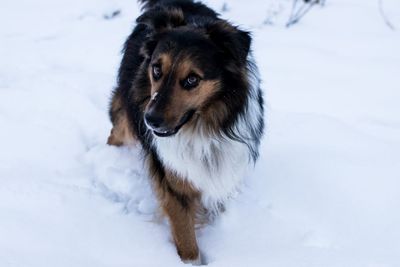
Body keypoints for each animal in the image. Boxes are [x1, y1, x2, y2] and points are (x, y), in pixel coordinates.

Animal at [108, 0, 264, 264]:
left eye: (192, 79)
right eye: (156, 70)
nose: (150, 121)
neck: (202, 126)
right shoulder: (172, 179)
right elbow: (186, 239)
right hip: (125, 118)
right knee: (115, 132)